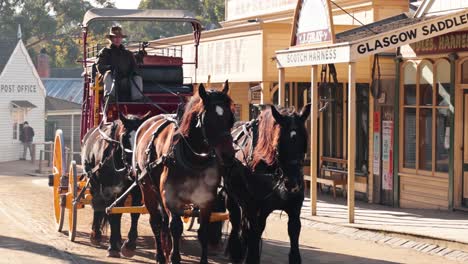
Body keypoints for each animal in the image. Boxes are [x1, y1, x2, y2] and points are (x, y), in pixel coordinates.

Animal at [81, 112, 151, 258]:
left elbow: (133, 213)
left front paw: (129, 245)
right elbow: (112, 213)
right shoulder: (108, 189)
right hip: (94, 183)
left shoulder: (135, 189)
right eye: (125, 137)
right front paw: (112, 246)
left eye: (142, 136)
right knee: (98, 205)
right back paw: (96, 234)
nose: (136, 165)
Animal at [132, 81, 234, 264]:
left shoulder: (206, 198)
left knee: (163, 221)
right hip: (147, 189)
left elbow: (203, 231)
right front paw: (175, 257)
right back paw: (160, 255)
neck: (194, 158)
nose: (229, 155)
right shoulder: (171, 197)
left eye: (230, 118)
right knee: (156, 222)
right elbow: (176, 227)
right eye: (209, 120)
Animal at [224, 104, 310, 262]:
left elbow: (294, 232)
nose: (293, 183)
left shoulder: (294, 208)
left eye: (304, 142)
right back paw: (237, 251)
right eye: (279, 143)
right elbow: (252, 231)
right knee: (236, 220)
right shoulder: (252, 205)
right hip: (232, 197)